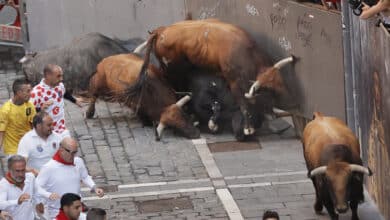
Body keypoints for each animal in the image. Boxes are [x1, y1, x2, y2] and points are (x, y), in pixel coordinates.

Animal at [133, 18, 294, 136]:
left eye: (281, 85)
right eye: (268, 91)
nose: (272, 115)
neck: (249, 53)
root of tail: (161, 30)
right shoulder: (235, 81)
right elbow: (243, 103)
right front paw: (248, 128)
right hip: (172, 70)